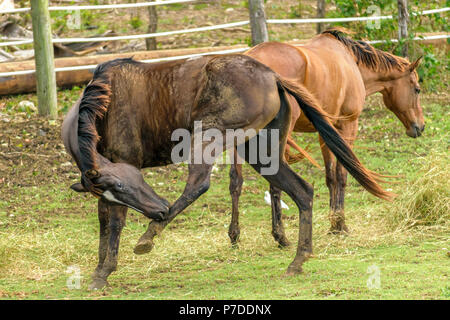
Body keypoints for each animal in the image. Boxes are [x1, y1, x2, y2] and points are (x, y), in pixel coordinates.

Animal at [62, 53, 390, 288]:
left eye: (127, 184)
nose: (159, 208)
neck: (104, 103)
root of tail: (273, 76)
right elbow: (104, 221)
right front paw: (99, 269)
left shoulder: (124, 161)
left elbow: (115, 222)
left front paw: (106, 269)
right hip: (261, 154)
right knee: (302, 191)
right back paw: (298, 260)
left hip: (209, 136)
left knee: (198, 184)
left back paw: (150, 235)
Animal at [227, 28, 424, 246]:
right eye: (417, 89)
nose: (420, 126)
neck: (350, 62)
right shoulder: (348, 127)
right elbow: (342, 174)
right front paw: (340, 224)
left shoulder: (326, 131)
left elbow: (331, 177)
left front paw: (333, 223)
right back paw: (280, 235)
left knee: (236, 181)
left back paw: (235, 234)